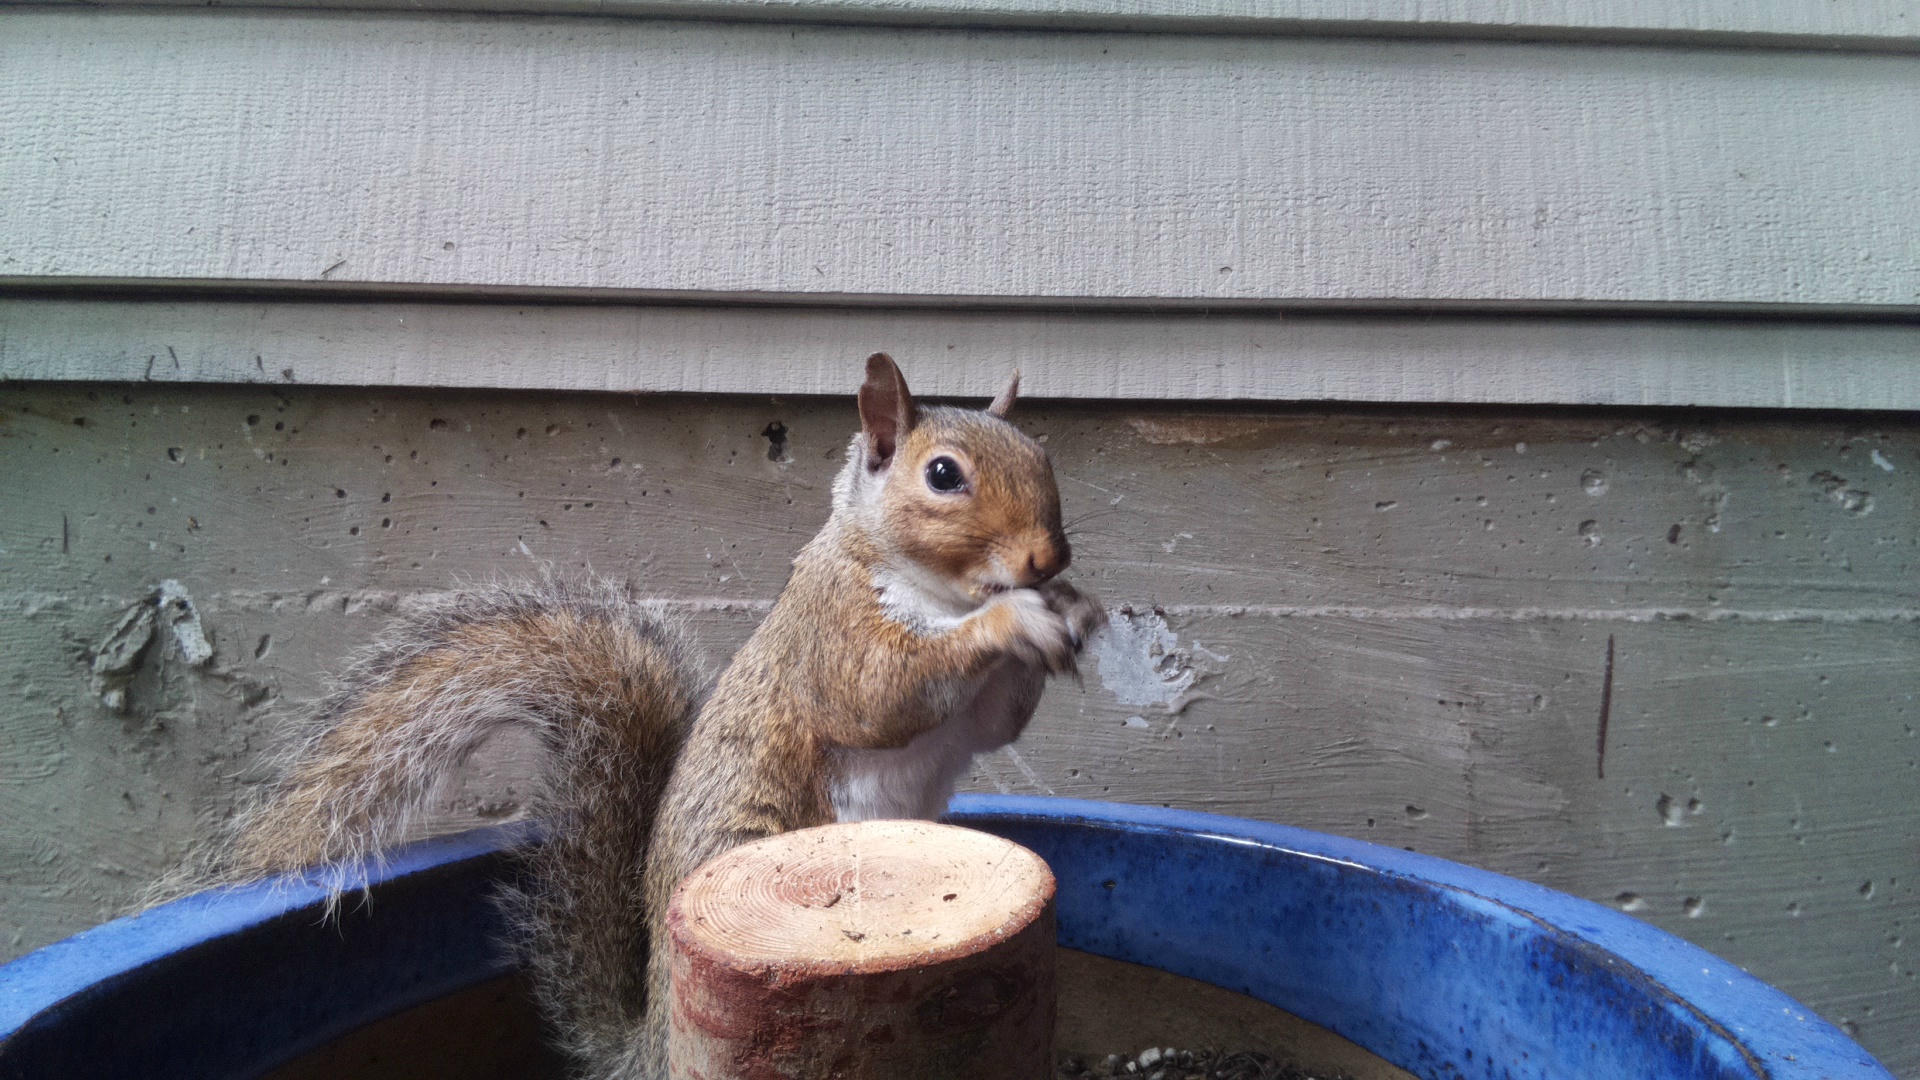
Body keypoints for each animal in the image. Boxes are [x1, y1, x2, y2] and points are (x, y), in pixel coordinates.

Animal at [188, 353, 1104, 1079]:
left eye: (1043, 454)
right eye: (943, 475)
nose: (1048, 557)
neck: (936, 593)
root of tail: (658, 1038)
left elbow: (993, 726)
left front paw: (1072, 611)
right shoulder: (831, 633)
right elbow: (881, 696)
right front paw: (1016, 620)